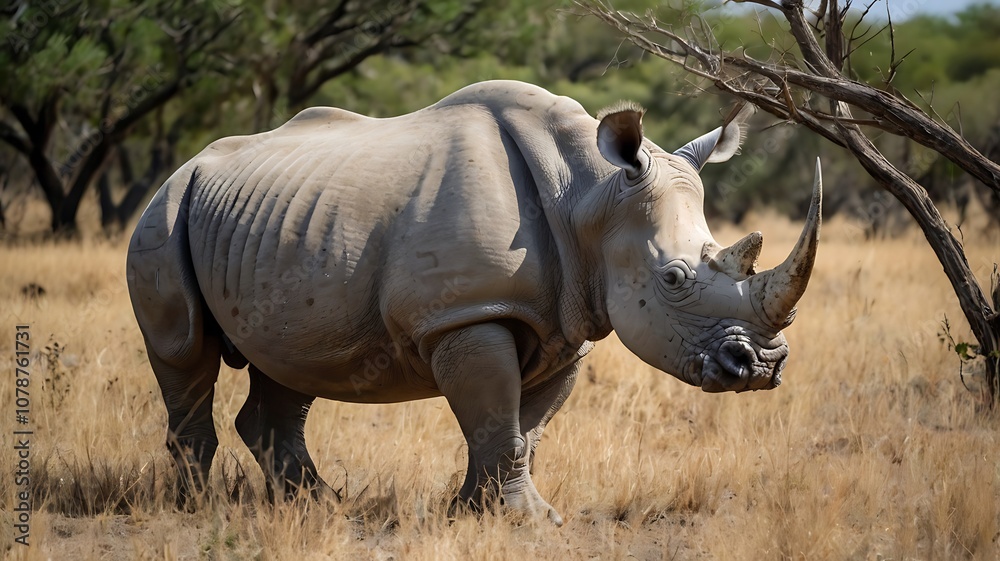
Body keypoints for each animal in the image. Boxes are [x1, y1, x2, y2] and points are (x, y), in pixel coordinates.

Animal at [126, 80, 821, 525]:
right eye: (673, 278)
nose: (761, 367)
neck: (589, 196)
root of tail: (181, 169)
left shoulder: (566, 322)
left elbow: (520, 429)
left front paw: (492, 514)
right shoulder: (467, 313)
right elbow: (495, 415)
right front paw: (523, 522)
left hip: (278, 226)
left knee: (292, 361)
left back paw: (319, 507)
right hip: (164, 213)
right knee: (183, 352)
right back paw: (196, 509)